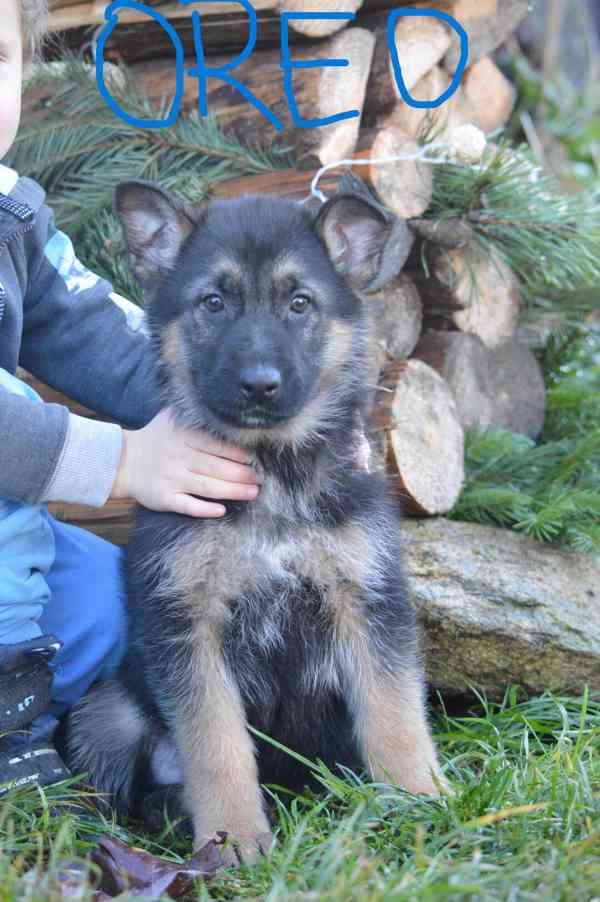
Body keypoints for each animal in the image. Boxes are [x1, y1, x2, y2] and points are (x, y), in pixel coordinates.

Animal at [65, 181, 447, 865]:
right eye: (214, 303)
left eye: (300, 303)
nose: (259, 386)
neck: (274, 476)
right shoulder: (188, 623)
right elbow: (216, 745)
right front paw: (232, 840)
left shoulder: (369, 599)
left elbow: (395, 712)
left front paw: (418, 799)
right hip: (105, 711)